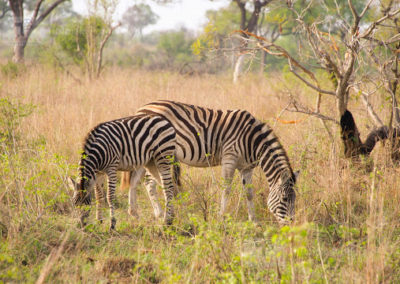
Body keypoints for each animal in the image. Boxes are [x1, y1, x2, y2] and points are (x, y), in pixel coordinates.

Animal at [123, 100, 298, 224]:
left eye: (294, 200)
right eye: (284, 199)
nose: (290, 224)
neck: (253, 140)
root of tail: (142, 108)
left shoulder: (246, 167)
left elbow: (249, 193)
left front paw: (254, 221)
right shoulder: (229, 158)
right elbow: (226, 189)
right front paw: (222, 217)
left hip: (146, 155)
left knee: (136, 180)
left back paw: (135, 212)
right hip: (158, 153)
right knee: (149, 183)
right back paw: (159, 214)